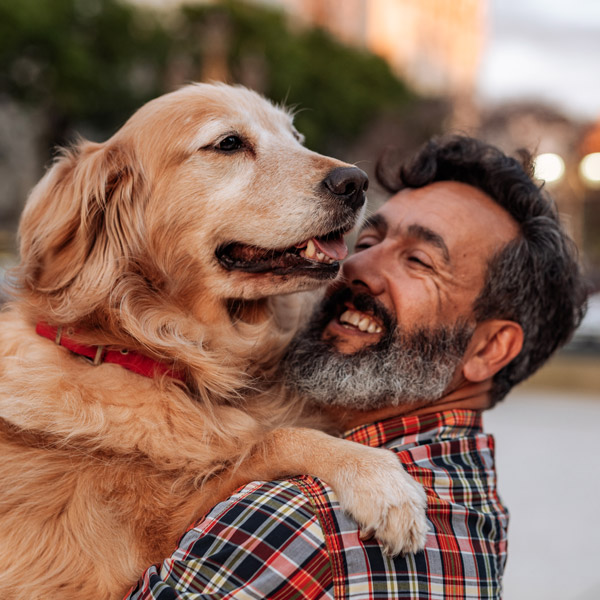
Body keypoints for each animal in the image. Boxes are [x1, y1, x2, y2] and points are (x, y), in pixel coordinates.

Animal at [0, 82, 426, 596]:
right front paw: (382, 481)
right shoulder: (126, 561)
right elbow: (275, 440)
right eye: (228, 144)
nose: (356, 182)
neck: (154, 353)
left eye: (295, 137)